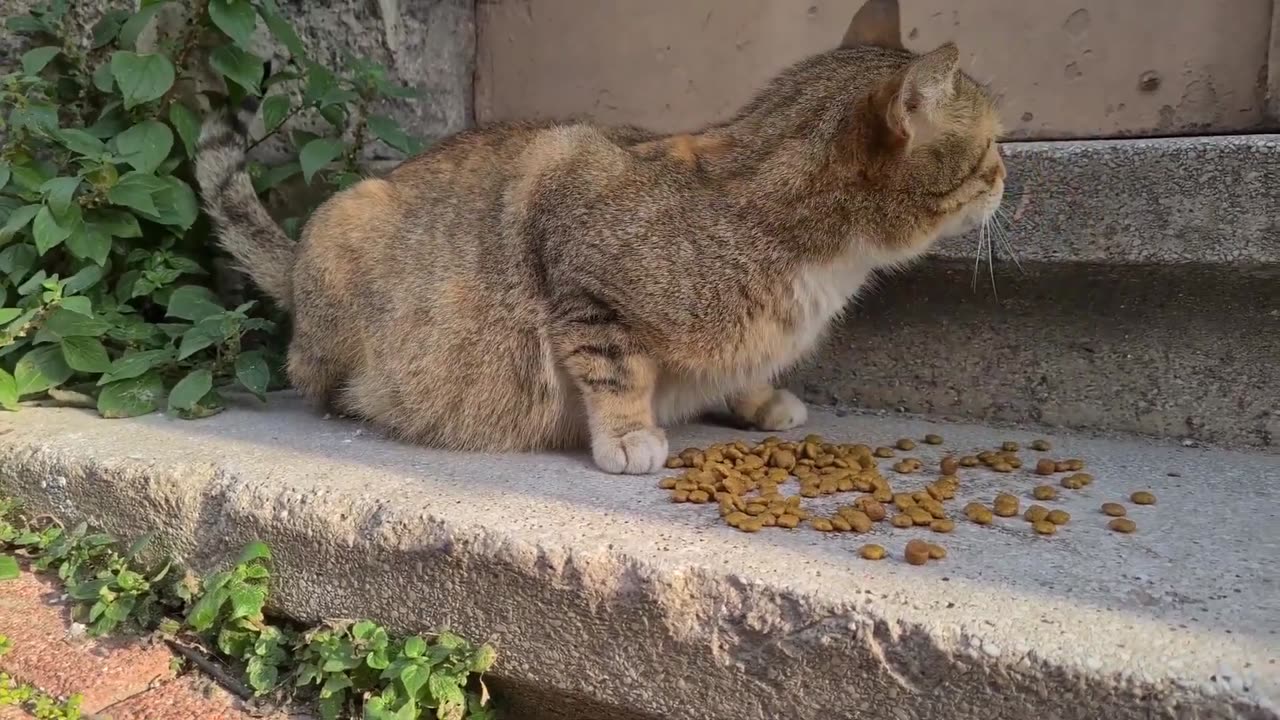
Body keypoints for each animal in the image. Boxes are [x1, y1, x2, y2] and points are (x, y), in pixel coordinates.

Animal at [194, 0, 1003, 474]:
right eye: (994, 145)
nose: (1007, 179)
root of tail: (298, 258)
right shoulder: (570, 213)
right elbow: (616, 368)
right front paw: (628, 434)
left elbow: (738, 365)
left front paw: (755, 397)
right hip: (346, 233)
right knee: (312, 377)